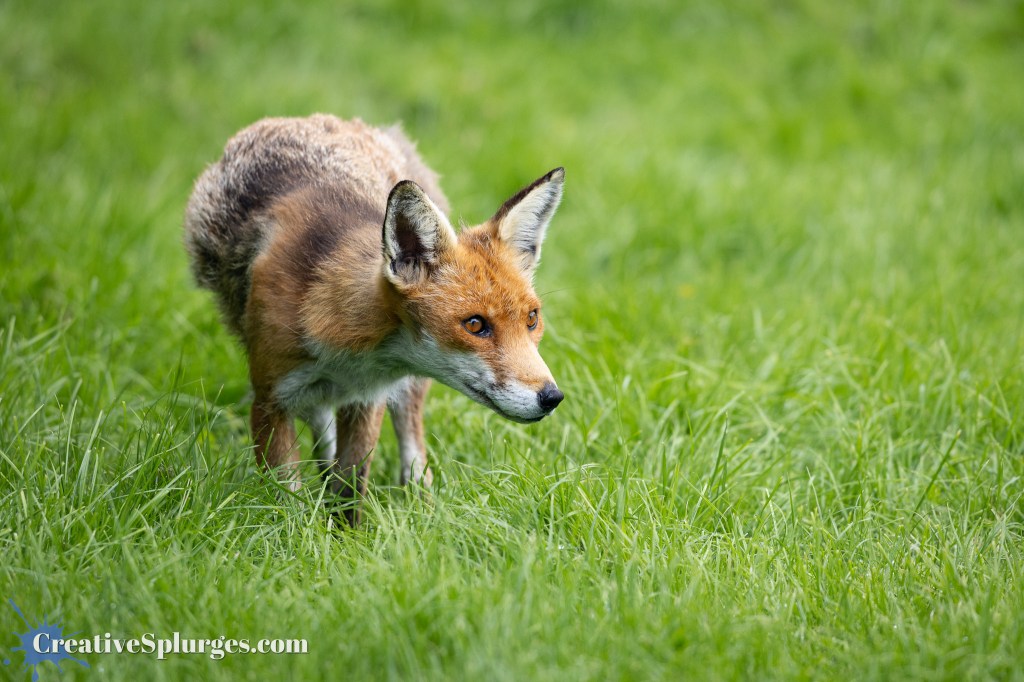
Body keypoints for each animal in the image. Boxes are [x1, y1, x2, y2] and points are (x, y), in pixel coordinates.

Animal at [184, 114, 565, 525]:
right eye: (475, 325)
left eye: (531, 319)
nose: (552, 397)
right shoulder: (271, 398)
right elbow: (286, 496)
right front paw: (300, 531)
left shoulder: (368, 398)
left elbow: (350, 487)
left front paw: (345, 535)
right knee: (324, 432)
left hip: (406, 393)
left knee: (412, 449)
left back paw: (424, 504)